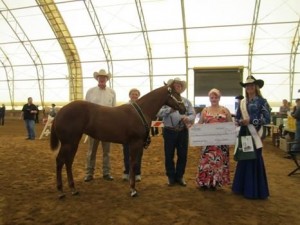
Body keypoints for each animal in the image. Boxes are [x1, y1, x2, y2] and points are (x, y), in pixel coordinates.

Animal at [49, 81, 185, 198]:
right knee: (60, 161)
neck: (140, 111)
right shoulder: (135, 143)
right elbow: (133, 164)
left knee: (68, 161)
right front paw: (133, 190)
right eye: (177, 93)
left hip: (73, 142)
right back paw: (61, 191)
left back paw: (73, 189)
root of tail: (60, 111)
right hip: (68, 143)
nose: (183, 108)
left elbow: (133, 163)